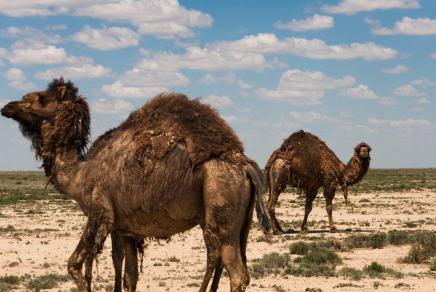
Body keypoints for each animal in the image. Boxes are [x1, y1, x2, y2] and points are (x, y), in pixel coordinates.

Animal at [1, 77, 270, 292]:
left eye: (40, 98)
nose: (7, 106)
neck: (79, 173)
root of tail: (243, 164)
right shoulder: (128, 228)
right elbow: (129, 276)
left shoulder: (101, 213)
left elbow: (75, 265)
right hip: (236, 220)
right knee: (226, 260)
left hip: (221, 199)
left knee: (235, 271)